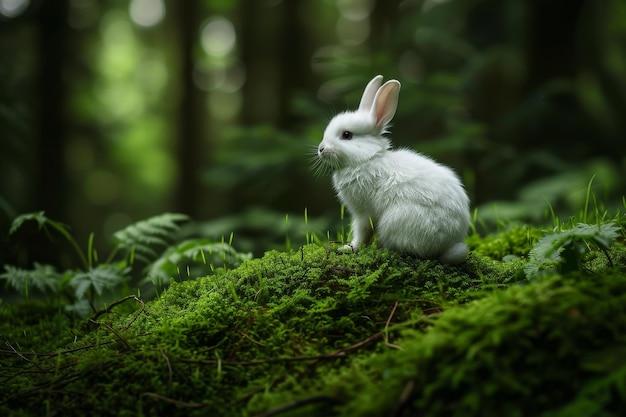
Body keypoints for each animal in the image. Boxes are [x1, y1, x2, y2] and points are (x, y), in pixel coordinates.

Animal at [316, 75, 468, 264]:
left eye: (347, 135)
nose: (321, 149)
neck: (367, 159)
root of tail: (448, 244)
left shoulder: (363, 213)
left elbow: (363, 232)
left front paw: (350, 248)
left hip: (396, 221)